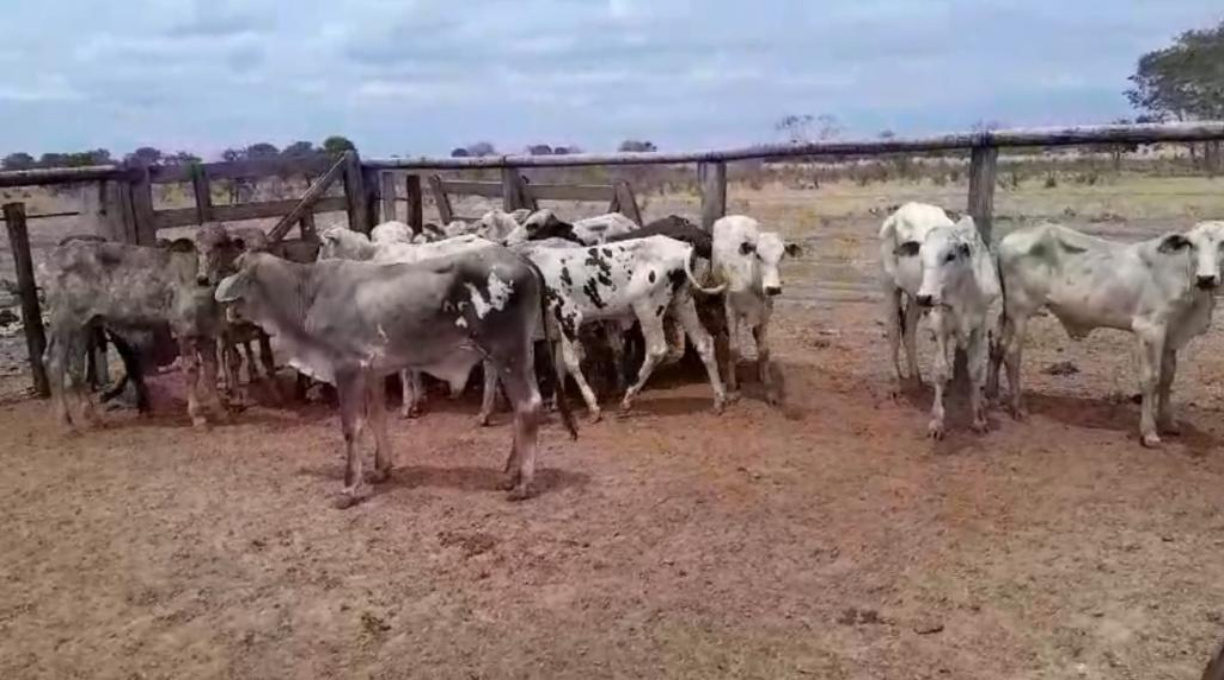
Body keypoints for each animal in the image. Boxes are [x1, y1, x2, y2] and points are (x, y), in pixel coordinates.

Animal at [216, 247, 577, 506]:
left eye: (236, 270)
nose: (226, 310)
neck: (308, 295)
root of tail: (520, 257)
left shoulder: (348, 367)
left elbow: (351, 427)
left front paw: (349, 488)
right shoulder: (373, 372)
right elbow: (377, 419)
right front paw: (381, 469)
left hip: (507, 353)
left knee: (529, 404)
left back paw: (523, 483)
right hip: (517, 355)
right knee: (520, 408)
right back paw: (510, 474)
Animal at [709, 215, 802, 403]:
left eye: (782, 255)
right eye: (758, 255)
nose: (773, 288)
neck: (751, 281)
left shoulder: (766, 313)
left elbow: (764, 349)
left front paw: (768, 386)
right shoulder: (732, 311)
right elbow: (734, 350)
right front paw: (731, 389)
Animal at [993, 220, 1224, 450]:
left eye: (1223, 243)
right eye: (1191, 245)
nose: (1206, 278)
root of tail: (1007, 240)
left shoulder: (1171, 334)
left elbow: (1168, 377)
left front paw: (1168, 423)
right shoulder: (1149, 328)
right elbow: (1151, 378)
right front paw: (1149, 432)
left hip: (1008, 315)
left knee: (998, 346)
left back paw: (993, 395)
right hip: (1020, 312)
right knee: (1012, 354)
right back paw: (1018, 408)